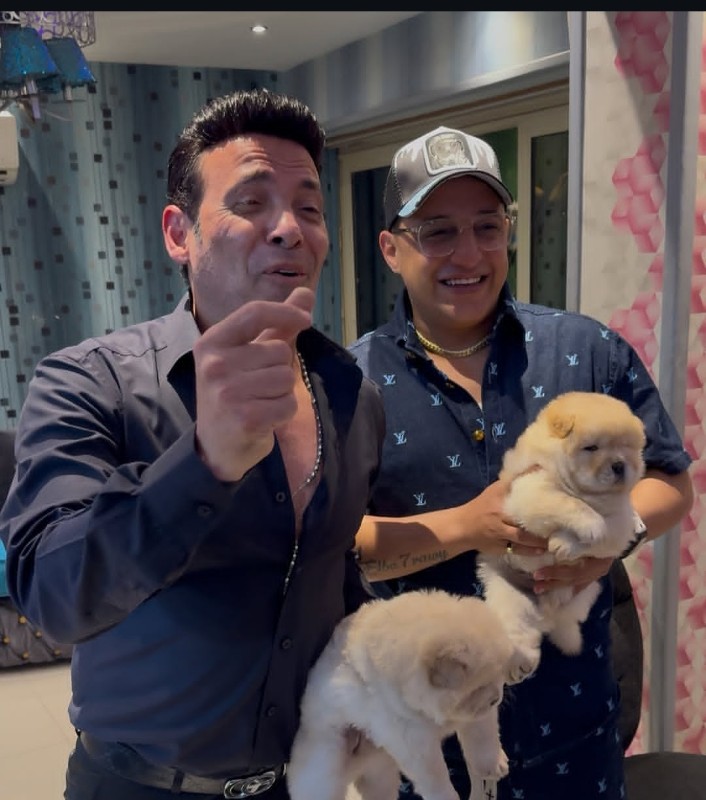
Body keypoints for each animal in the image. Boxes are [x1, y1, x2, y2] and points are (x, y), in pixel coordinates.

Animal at [287, 588, 515, 800]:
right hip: (325, 769)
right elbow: (435, 776)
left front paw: (494, 766)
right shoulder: (414, 742)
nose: (496, 699)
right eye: (477, 686)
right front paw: (447, 796)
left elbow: (483, 737)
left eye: (498, 676)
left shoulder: (476, 716)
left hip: (380, 774)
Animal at [477, 391, 646, 683]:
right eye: (592, 448)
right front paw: (589, 524)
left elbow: (605, 532)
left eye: (626, 446)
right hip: (508, 595)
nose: (618, 465)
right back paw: (518, 666)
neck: (588, 493)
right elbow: (569, 504)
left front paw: (565, 545)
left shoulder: (621, 521)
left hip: (582, 593)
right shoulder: (531, 489)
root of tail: (548, 613)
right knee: (518, 632)